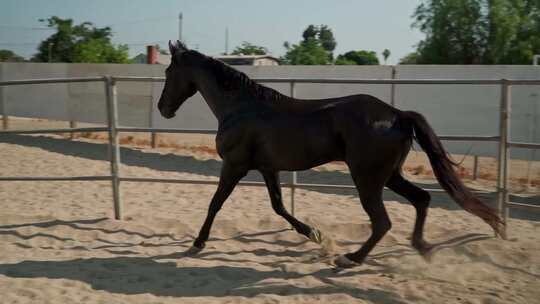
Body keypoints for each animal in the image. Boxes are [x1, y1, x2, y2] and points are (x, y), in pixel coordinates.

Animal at [156, 41, 502, 268]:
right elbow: (279, 206)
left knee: (382, 221)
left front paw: (197, 243)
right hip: (390, 175)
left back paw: (351, 258)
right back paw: (423, 248)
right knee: (421, 200)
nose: (163, 109)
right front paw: (315, 235)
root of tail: (398, 115)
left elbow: (215, 203)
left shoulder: (234, 165)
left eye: (169, 71)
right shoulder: (268, 168)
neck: (240, 108)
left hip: (367, 178)